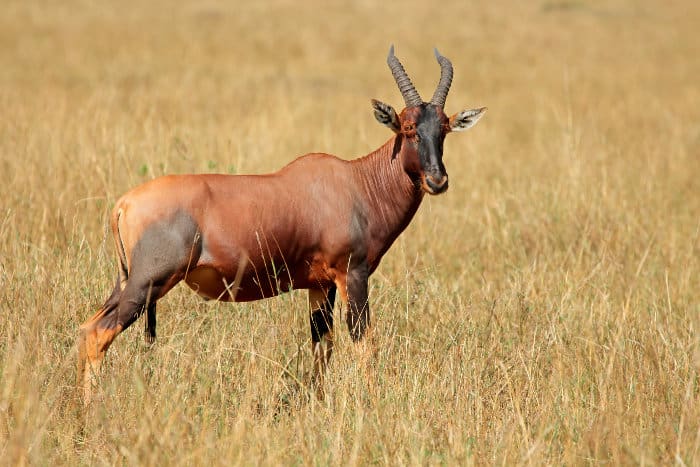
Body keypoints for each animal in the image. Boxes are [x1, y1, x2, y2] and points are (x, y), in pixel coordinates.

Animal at [77, 46, 486, 403]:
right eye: (408, 127)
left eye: (444, 128)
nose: (437, 181)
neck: (353, 182)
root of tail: (124, 203)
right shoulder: (353, 275)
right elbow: (363, 343)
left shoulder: (320, 285)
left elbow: (323, 346)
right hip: (150, 281)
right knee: (99, 333)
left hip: (127, 280)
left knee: (87, 327)